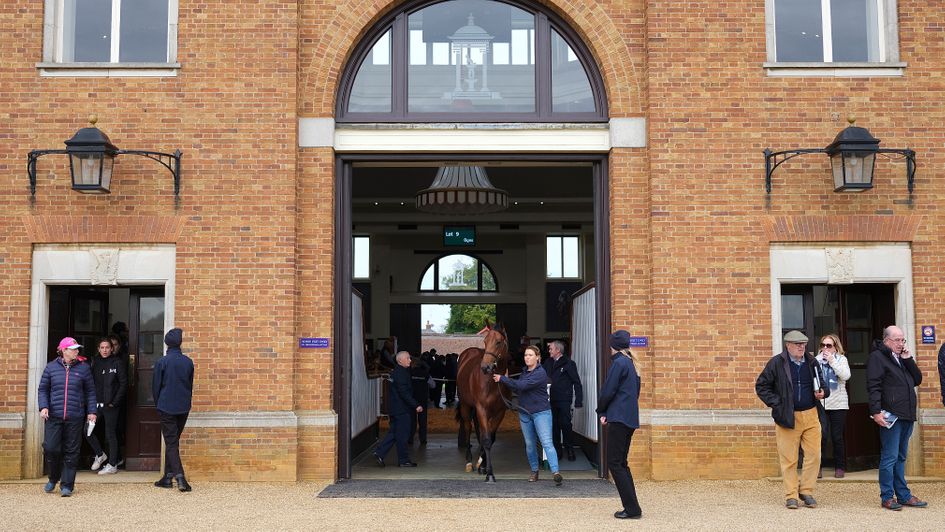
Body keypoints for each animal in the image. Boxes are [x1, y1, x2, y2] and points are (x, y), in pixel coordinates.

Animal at [456, 320, 508, 482]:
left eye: (498, 342)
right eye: (485, 341)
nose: (485, 367)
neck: (493, 383)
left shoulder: (500, 412)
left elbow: (490, 437)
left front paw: (483, 466)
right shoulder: (482, 409)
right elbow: (486, 439)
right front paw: (489, 473)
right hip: (466, 406)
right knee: (468, 427)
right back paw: (468, 462)